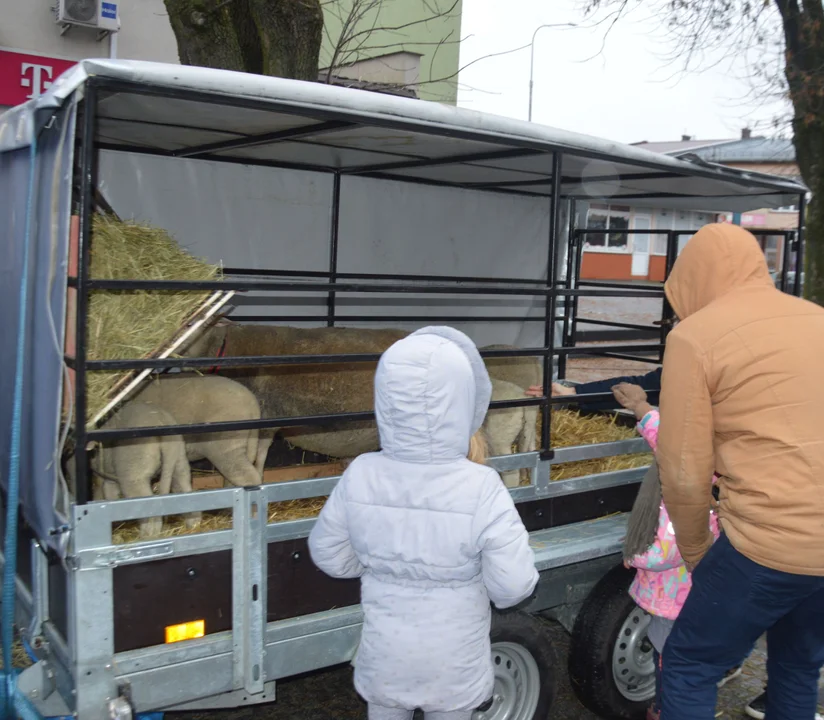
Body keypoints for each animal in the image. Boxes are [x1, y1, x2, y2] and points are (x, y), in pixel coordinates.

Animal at [65, 402, 197, 536]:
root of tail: (161, 419)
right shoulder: (110, 476)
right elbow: (108, 492)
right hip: (178, 460)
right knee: (184, 488)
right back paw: (193, 525)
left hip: (134, 474)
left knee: (151, 510)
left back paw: (148, 535)